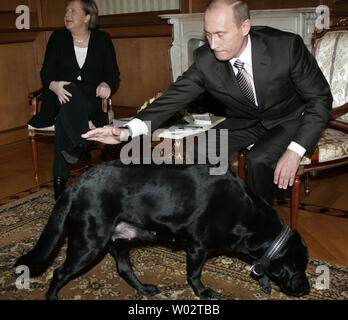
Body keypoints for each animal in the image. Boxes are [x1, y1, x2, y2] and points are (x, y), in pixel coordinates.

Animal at [16, 161, 310, 298]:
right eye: (299, 267)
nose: (307, 289)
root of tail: (75, 186)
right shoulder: (197, 247)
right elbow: (194, 275)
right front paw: (202, 292)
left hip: (118, 239)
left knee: (124, 269)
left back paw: (144, 290)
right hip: (88, 243)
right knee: (59, 272)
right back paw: (52, 296)